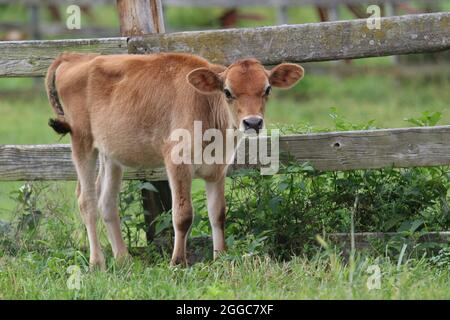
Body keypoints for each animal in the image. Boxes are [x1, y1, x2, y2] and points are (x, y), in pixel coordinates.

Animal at [45, 52, 304, 268]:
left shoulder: (218, 168)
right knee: (86, 200)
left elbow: (218, 213)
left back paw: (123, 258)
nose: (253, 122)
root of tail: (75, 56)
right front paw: (177, 262)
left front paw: (220, 257)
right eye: (228, 92)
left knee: (106, 201)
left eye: (267, 89)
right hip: (82, 140)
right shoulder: (177, 161)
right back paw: (97, 262)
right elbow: (183, 215)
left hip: (111, 154)